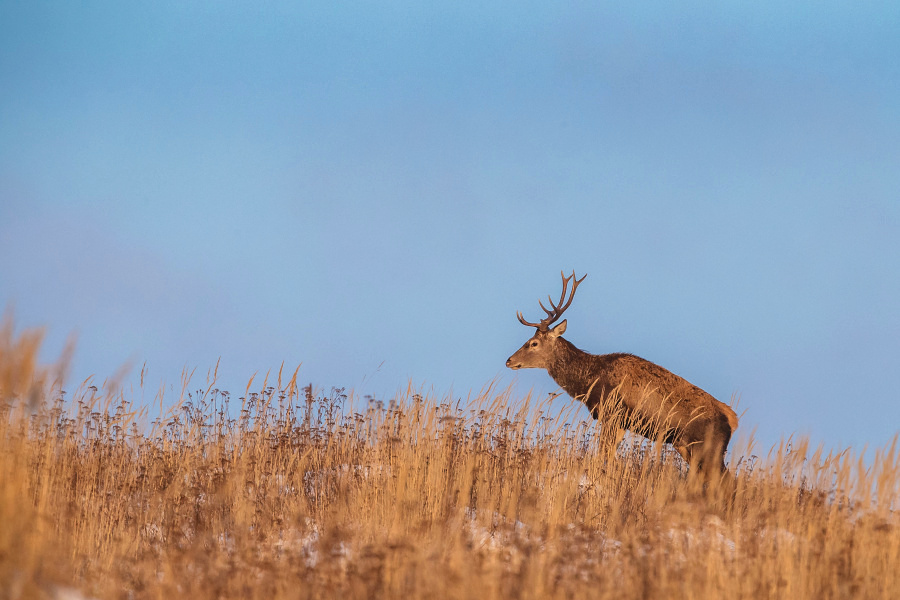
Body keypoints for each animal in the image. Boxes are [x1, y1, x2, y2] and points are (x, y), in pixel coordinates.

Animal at [506, 272, 740, 478]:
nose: (509, 360)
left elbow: (604, 453)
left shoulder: (613, 412)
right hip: (686, 446)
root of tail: (733, 420)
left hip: (707, 447)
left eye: (533, 343)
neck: (591, 380)